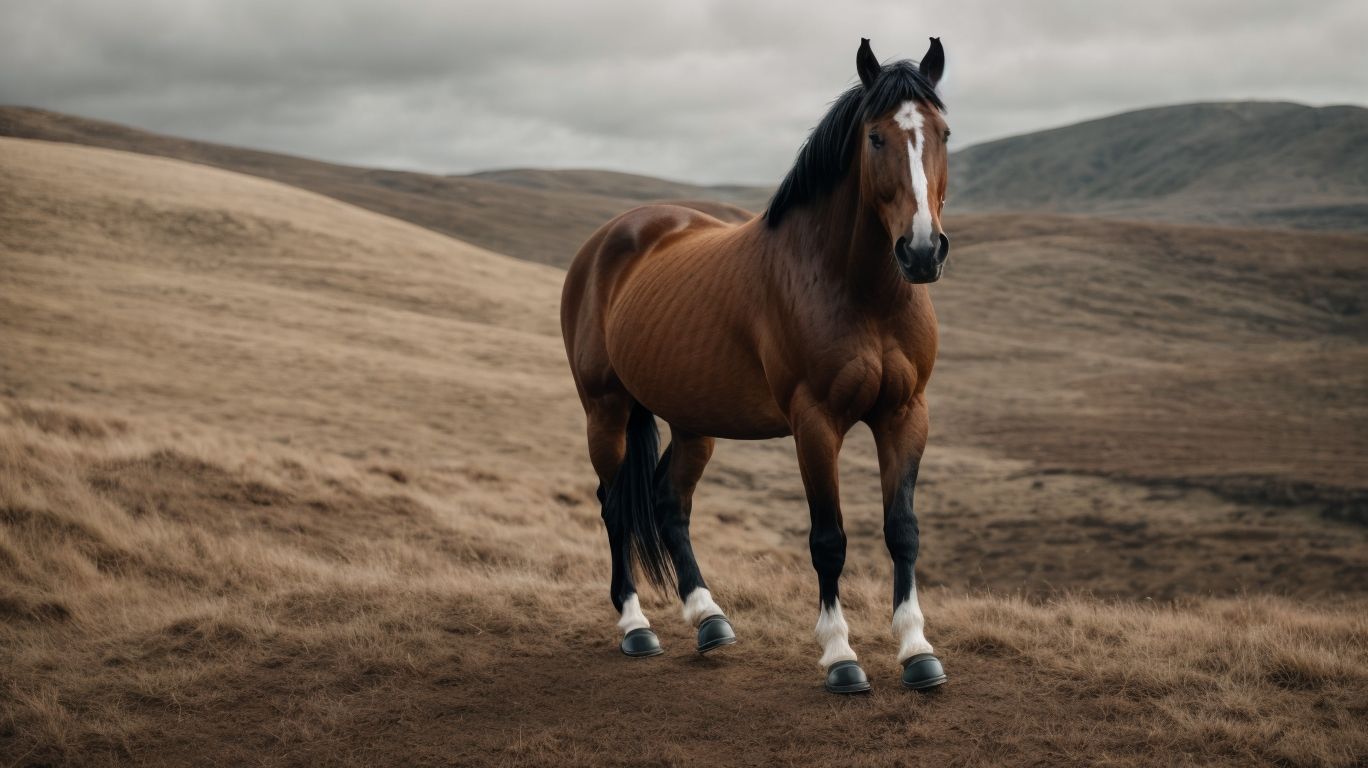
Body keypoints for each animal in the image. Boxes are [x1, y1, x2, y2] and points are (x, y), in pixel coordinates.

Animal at [560, 37, 952, 694]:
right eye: (876, 138)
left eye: (944, 132)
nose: (922, 250)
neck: (855, 287)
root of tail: (607, 241)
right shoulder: (815, 423)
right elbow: (829, 539)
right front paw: (840, 656)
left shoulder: (905, 414)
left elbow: (903, 530)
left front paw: (916, 650)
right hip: (606, 412)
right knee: (615, 507)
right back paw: (635, 627)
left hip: (693, 422)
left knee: (669, 503)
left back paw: (708, 618)